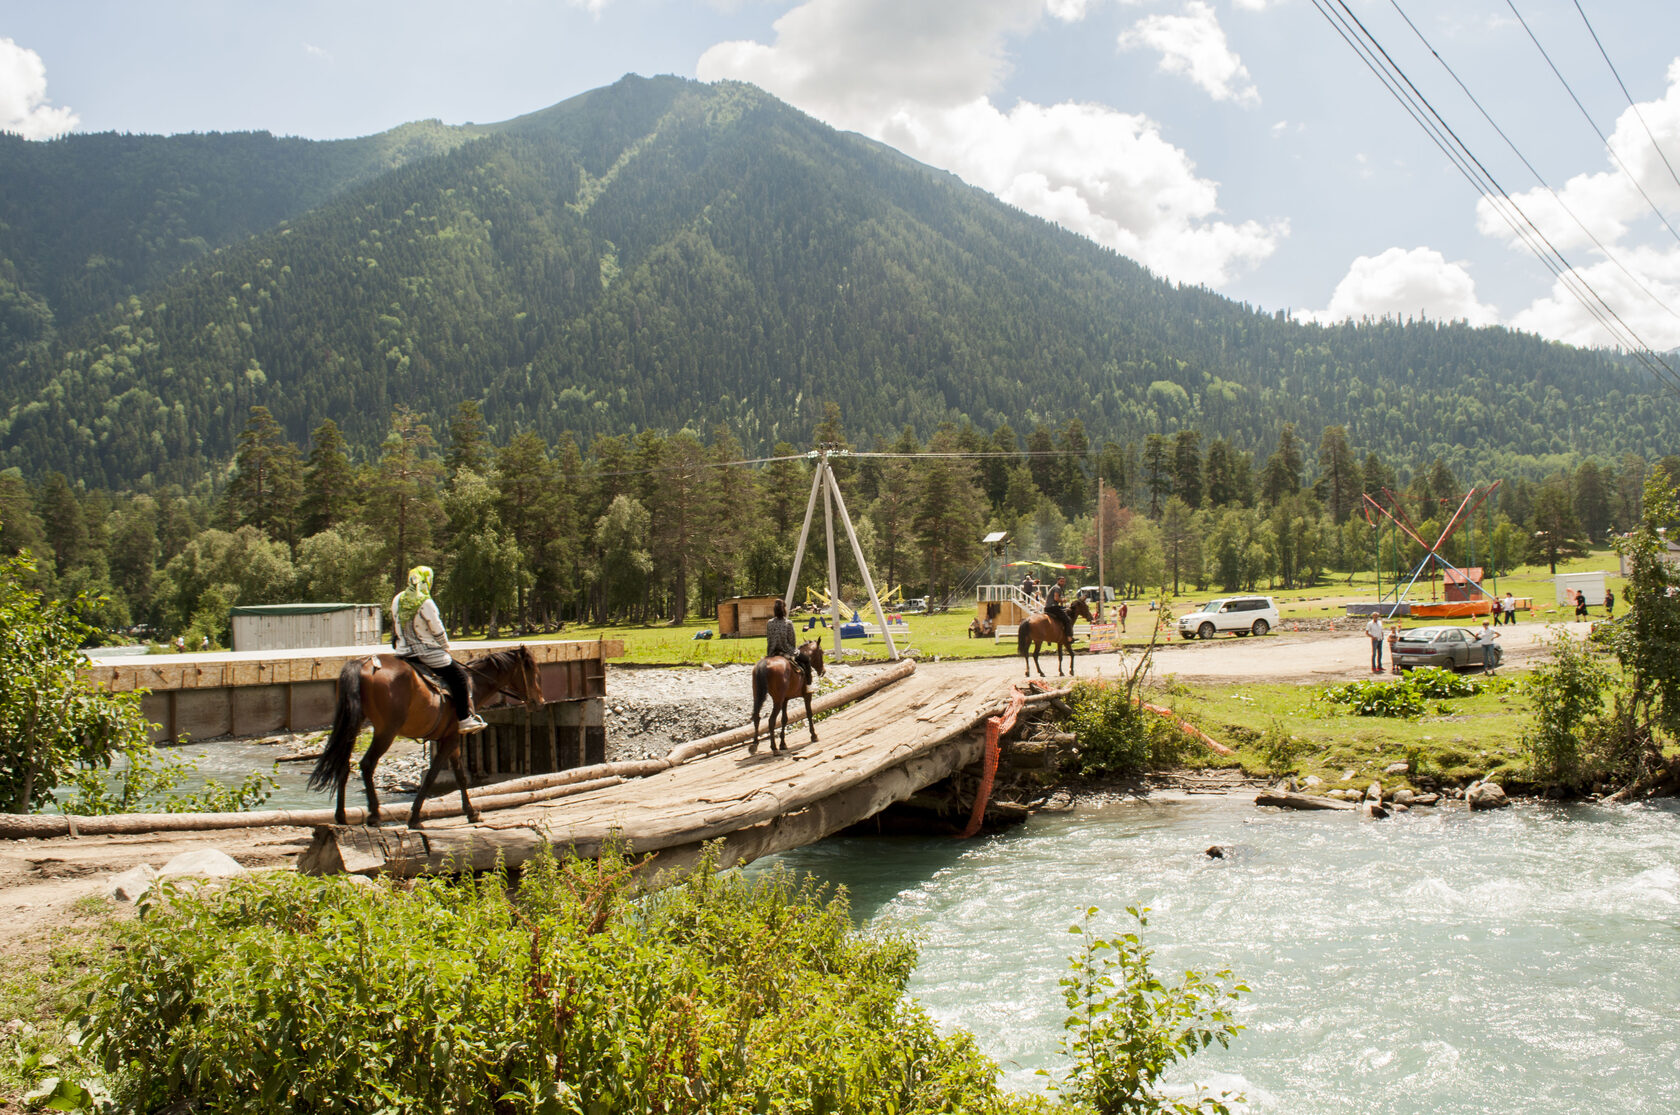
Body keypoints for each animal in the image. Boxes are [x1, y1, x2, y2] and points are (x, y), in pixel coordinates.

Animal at [302, 644, 537, 826]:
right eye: (533, 672)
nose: (539, 700)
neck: (472, 685)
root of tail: (364, 663)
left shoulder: (451, 739)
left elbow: (460, 776)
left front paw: (471, 812)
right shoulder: (451, 738)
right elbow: (433, 775)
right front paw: (415, 816)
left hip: (354, 724)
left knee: (343, 763)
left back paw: (341, 815)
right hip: (386, 730)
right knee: (367, 764)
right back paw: (375, 814)